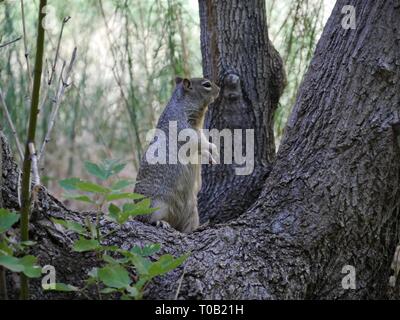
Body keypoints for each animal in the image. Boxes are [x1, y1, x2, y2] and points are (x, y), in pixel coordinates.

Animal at [136, 77, 220, 232]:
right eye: (206, 85)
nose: (219, 89)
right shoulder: (184, 130)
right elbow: (199, 143)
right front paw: (214, 148)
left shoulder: (199, 131)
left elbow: (201, 146)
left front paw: (211, 157)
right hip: (156, 206)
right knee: (148, 219)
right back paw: (161, 222)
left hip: (193, 213)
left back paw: (199, 227)